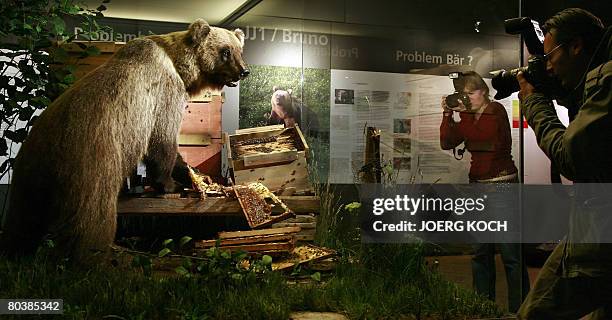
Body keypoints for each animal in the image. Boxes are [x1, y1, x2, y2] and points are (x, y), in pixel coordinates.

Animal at [0, 18, 249, 262]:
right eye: (226, 51)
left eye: (239, 49)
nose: (244, 70)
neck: (179, 66)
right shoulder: (163, 94)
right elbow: (162, 140)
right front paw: (170, 183)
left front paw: (196, 174)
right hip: (92, 161)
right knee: (92, 216)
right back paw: (88, 256)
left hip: (30, 171)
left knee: (24, 218)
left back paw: (17, 250)